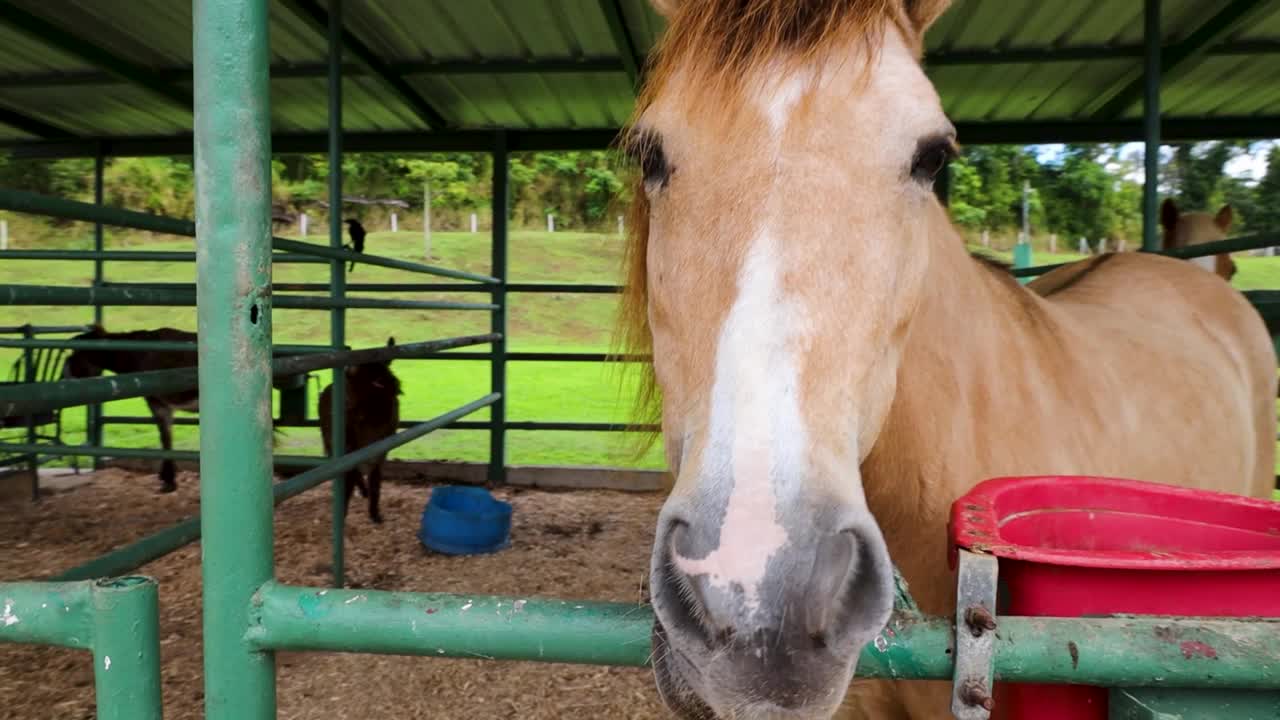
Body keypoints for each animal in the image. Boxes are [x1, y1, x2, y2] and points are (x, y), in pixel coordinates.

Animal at [318, 335, 399, 520]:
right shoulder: (348, 452)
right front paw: (342, 513)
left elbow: (375, 481)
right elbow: (349, 481)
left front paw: (375, 515)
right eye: (377, 383)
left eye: (396, 390)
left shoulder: (380, 453)